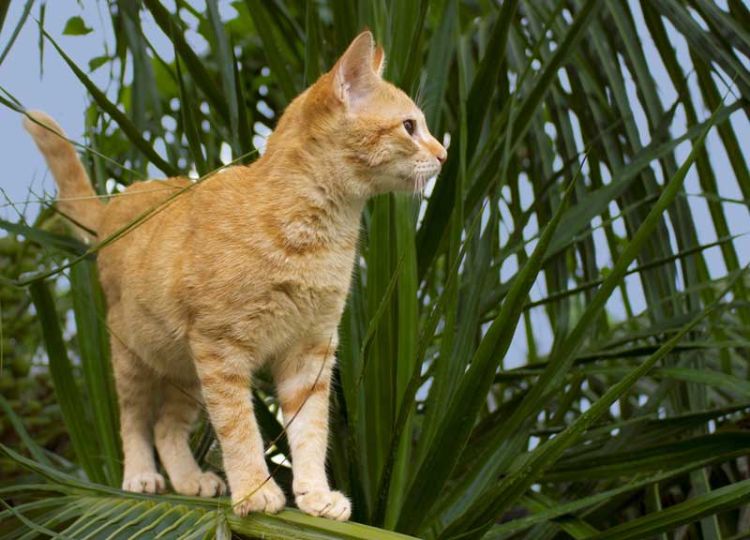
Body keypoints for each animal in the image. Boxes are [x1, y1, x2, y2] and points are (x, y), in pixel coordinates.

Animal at [25, 31, 446, 520]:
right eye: (410, 127)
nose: (444, 153)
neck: (314, 235)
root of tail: (116, 204)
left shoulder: (311, 352)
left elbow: (310, 430)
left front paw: (315, 494)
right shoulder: (221, 351)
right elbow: (240, 428)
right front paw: (254, 491)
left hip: (185, 373)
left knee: (167, 426)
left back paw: (189, 479)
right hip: (134, 357)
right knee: (133, 419)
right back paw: (141, 475)